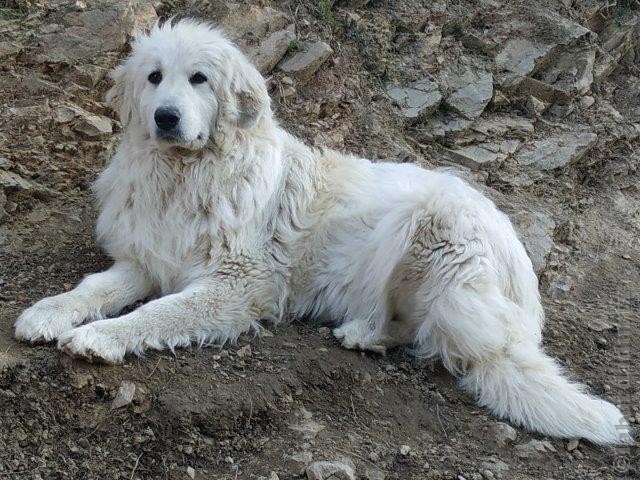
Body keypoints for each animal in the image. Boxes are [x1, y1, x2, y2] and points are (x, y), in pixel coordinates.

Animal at [13, 18, 632, 446]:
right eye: (154, 78)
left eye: (199, 79)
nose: (165, 117)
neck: (187, 176)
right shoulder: (144, 260)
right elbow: (91, 288)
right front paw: (47, 312)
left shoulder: (238, 284)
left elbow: (159, 313)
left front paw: (101, 337)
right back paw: (365, 333)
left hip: (432, 232)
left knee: (447, 340)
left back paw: (366, 332)